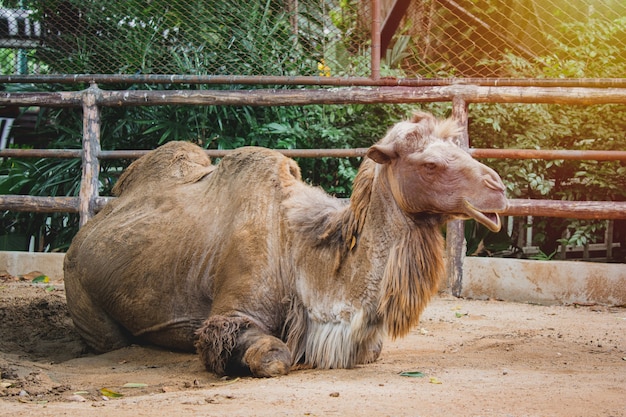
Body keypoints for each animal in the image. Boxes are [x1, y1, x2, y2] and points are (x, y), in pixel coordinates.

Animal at [63, 110, 508, 376]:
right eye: (430, 165)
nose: (498, 189)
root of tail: (83, 233)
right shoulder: (231, 315)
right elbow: (274, 357)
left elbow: (370, 350)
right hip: (78, 287)